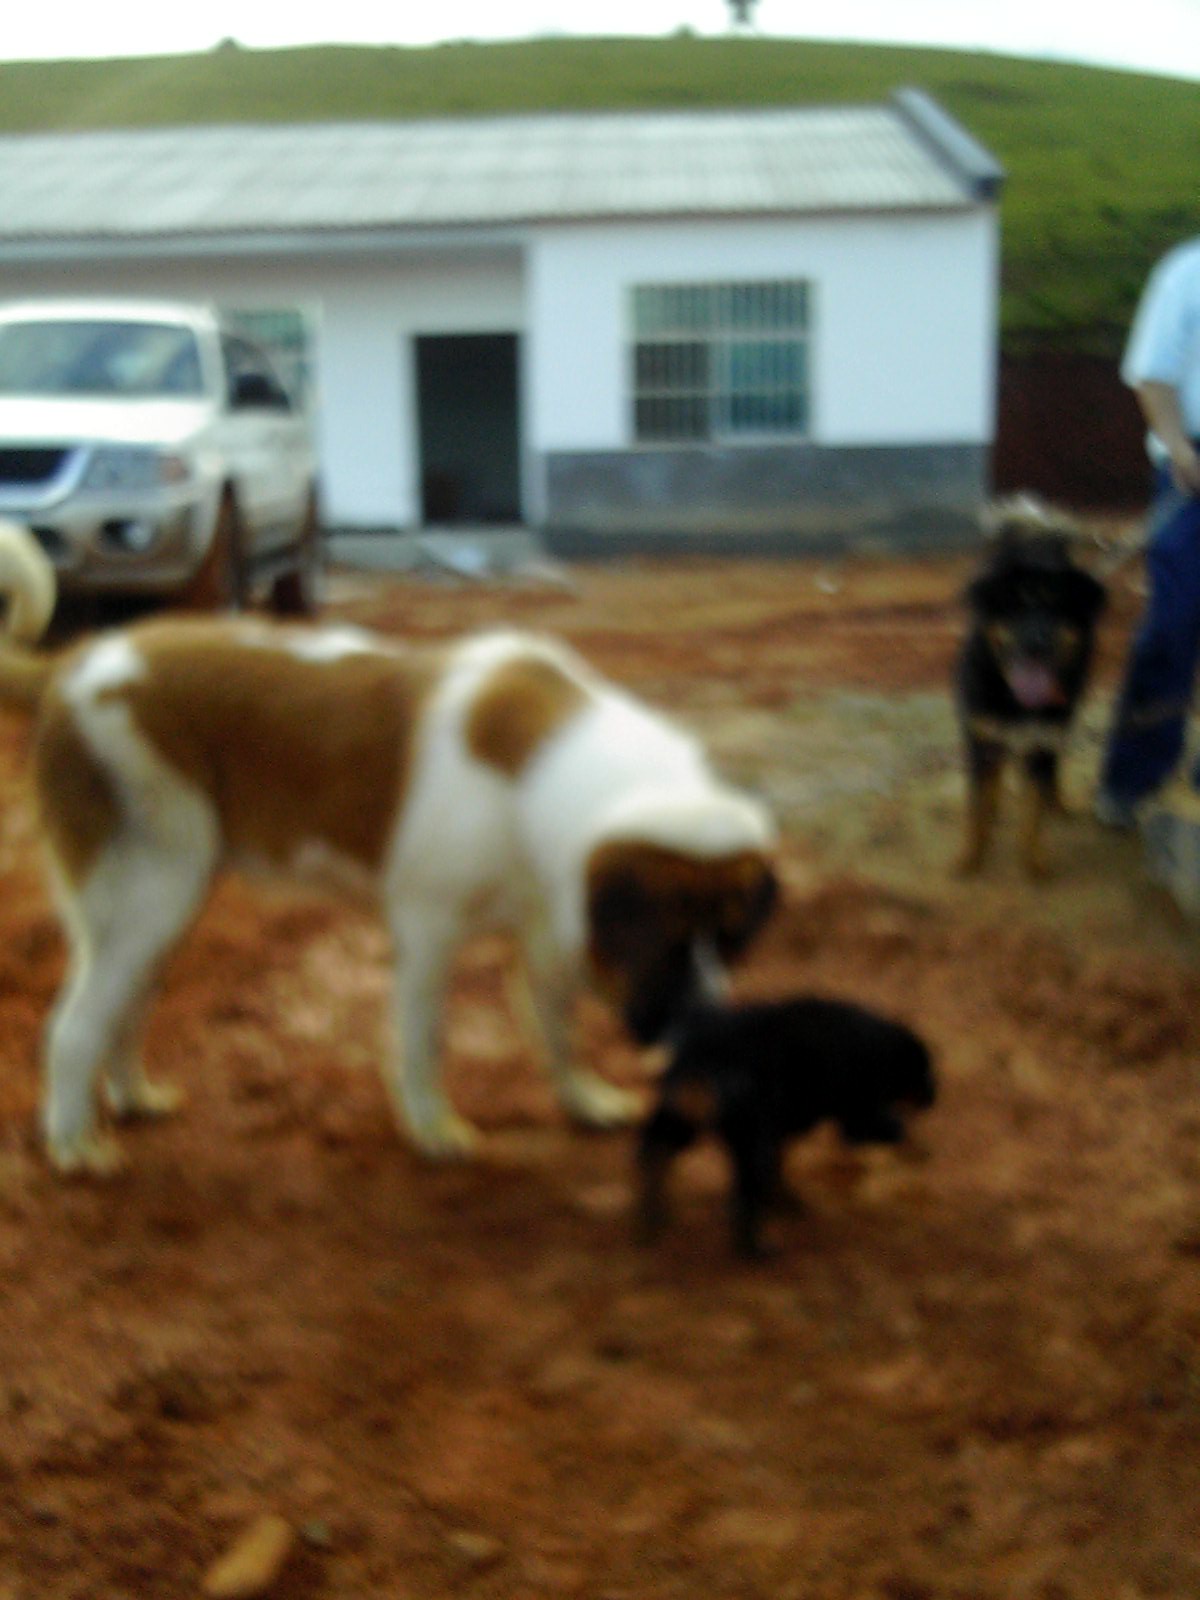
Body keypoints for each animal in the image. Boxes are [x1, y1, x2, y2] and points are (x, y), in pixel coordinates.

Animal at [0, 519, 778, 1175]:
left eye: (731, 941)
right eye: (665, 940)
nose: (711, 1037)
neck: (538, 775)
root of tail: (72, 666)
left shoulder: (548, 925)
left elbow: (556, 1025)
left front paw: (582, 1098)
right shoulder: (430, 929)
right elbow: (425, 1038)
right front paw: (433, 1129)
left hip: (166, 902)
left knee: (123, 1008)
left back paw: (134, 1098)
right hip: (149, 892)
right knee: (73, 1025)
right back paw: (73, 1142)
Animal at [635, 996, 936, 1258]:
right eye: (924, 1072)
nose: (934, 1097)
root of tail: (701, 1058)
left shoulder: (780, 1130)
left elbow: (780, 1170)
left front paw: (786, 1203)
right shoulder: (859, 1117)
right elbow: (897, 1129)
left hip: (684, 1122)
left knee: (653, 1151)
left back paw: (650, 1218)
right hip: (748, 1143)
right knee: (744, 1201)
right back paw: (756, 1250)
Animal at [955, 497, 1106, 878]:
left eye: (1057, 609)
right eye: (1013, 608)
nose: (1036, 645)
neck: (1015, 698)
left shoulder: (1041, 741)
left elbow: (1032, 815)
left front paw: (1034, 860)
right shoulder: (981, 739)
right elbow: (975, 809)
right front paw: (970, 856)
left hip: (1060, 721)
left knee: (1052, 769)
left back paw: (1057, 803)